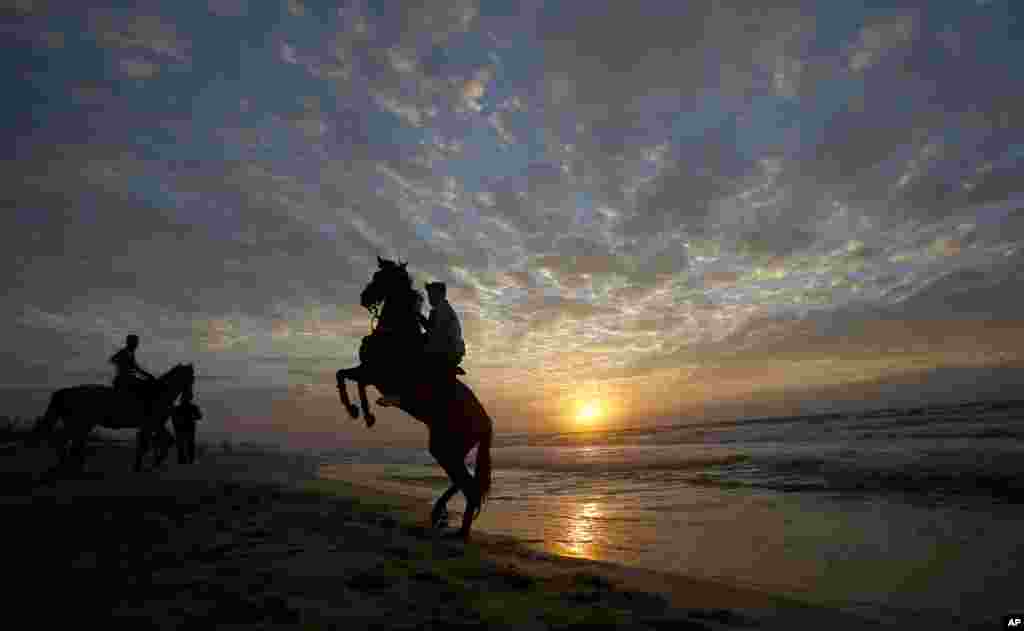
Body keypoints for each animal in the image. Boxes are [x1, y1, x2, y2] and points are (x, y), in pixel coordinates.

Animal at [32, 360, 195, 473]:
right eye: (191, 378)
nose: (189, 396)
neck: (159, 393)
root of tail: (66, 391)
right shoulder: (152, 424)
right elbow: (155, 442)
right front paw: (149, 463)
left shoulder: (152, 425)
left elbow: (157, 442)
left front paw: (149, 463)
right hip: (79, 422)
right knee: (66, 440)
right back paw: (69, 464)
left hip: (81, 423)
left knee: (69, 441)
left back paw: (72, 464)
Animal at [337, 259, 493, 540]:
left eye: (380, 278)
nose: (364, 298)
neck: (397, 334)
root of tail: (486, 423)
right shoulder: (370, 372)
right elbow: (344, 375)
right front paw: (362, 413)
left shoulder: (377, 374)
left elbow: (349, 378)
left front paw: (359, 411)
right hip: (448, 448)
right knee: (465, 481)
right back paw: (442, 515)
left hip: (447, 447)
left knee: (468, 485)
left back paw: (460, 531)